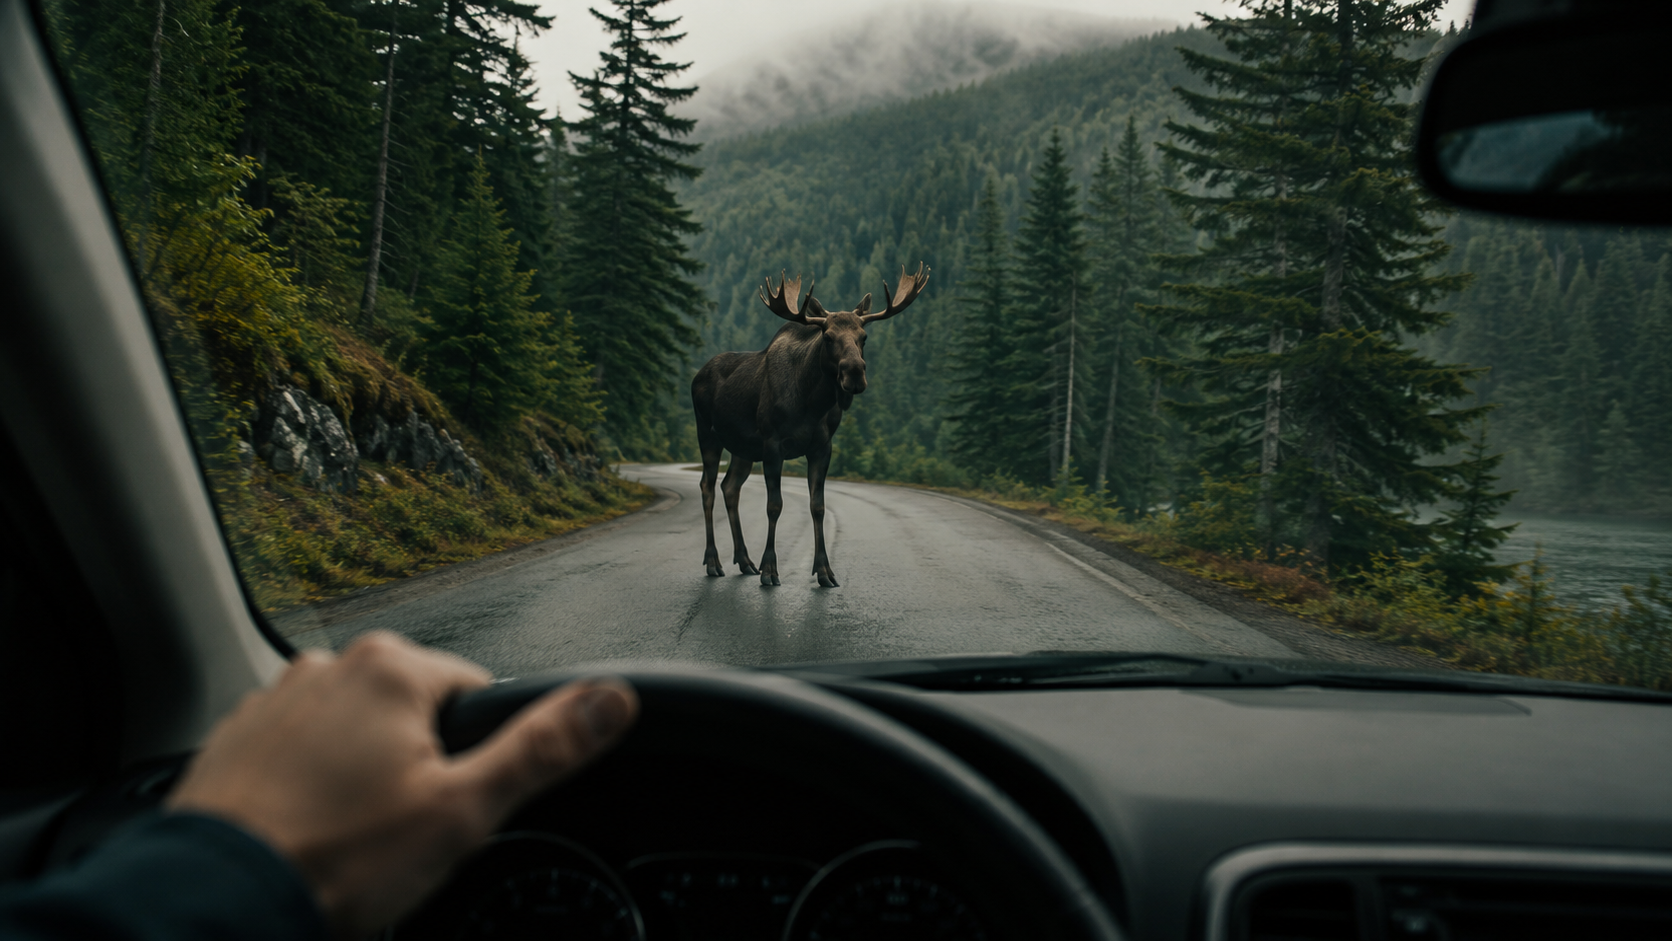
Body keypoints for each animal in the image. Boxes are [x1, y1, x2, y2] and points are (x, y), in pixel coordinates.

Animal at [691, 263, 930, 587]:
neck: (811, 404)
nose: (854, 374)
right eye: (827, 336)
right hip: (707, 433)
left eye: (864, 336)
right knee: (707, 486)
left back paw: (744, 560)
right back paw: (714, 561)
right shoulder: (773, 444)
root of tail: (696, 376)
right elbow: (774, 505)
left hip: (743, 448)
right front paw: (770, 570)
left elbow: (818, 506)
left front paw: (825, 571)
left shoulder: (821, 447)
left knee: (730, 487)